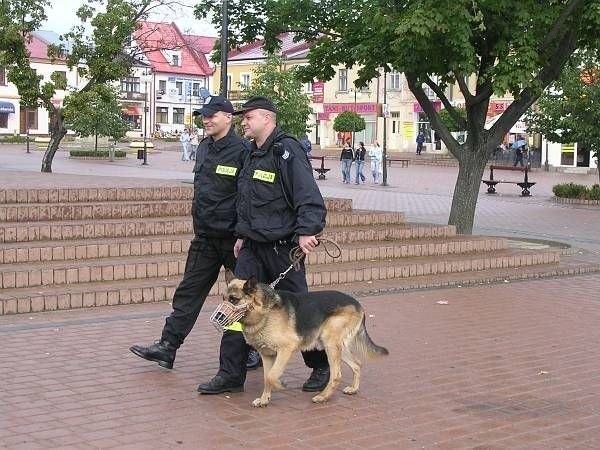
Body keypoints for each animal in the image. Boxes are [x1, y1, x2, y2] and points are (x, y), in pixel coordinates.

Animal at [223, 270, 386, 408]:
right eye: (224, 299)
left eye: (234, 299)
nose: (220, 316)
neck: (264, 312)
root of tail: (358, 305)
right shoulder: (267, 355)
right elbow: (266, 377)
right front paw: (264, 399)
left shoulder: (285, 349)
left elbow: (271, 376)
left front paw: (280, 384)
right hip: (337, 347)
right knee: (357, 364)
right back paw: (353, 389)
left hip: (330, 345)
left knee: (337, 375)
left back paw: (323, 397)